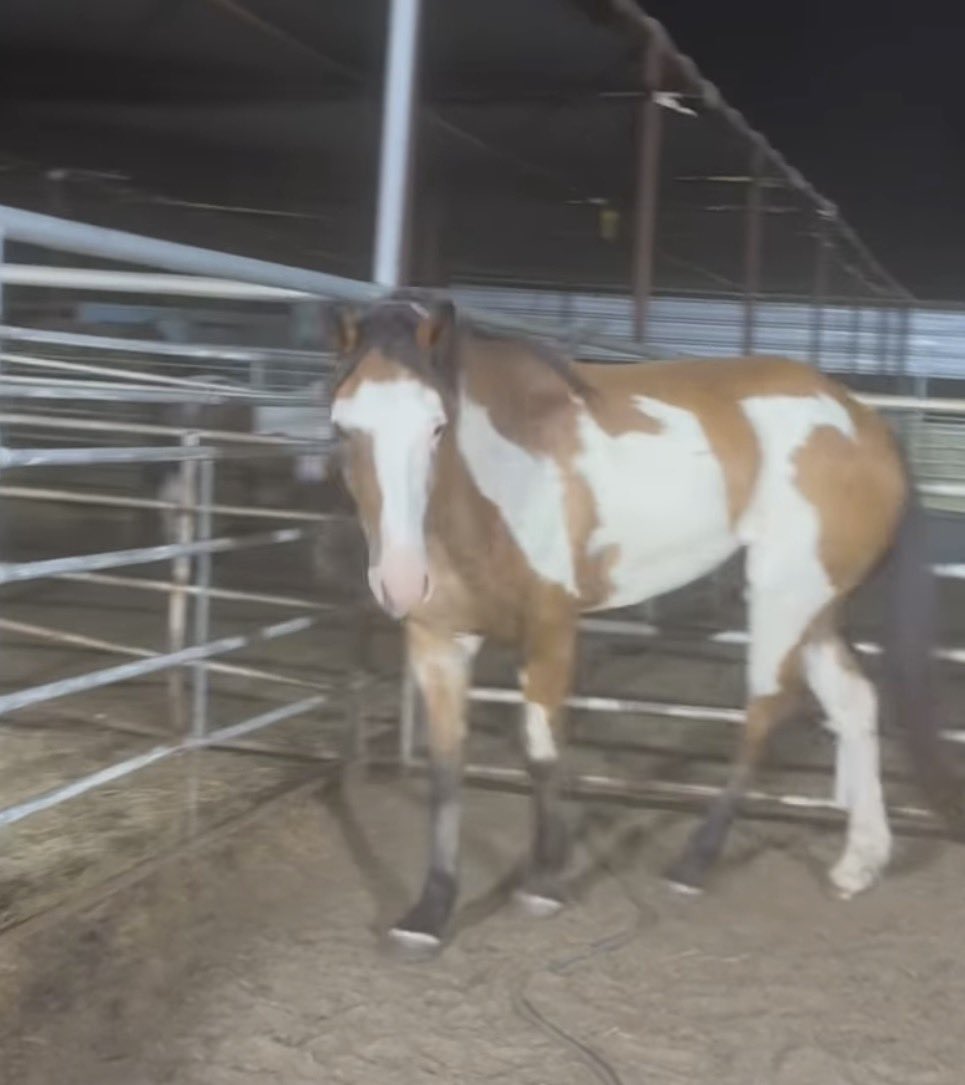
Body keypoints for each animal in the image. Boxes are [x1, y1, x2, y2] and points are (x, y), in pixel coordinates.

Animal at [329, 289, 962, 955]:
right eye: (342, 427)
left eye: (436, 425)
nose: (400, 580)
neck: (498, 481)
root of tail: (865, 421)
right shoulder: (436, 640)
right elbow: (446, 770)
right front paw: (429, 912)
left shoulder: (553, 626)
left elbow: (541, 749)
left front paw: (544, 883)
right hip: (816, 605)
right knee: (855, 702)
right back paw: (860, 862)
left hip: (784, 594)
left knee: (766, 711)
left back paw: (694, 863)